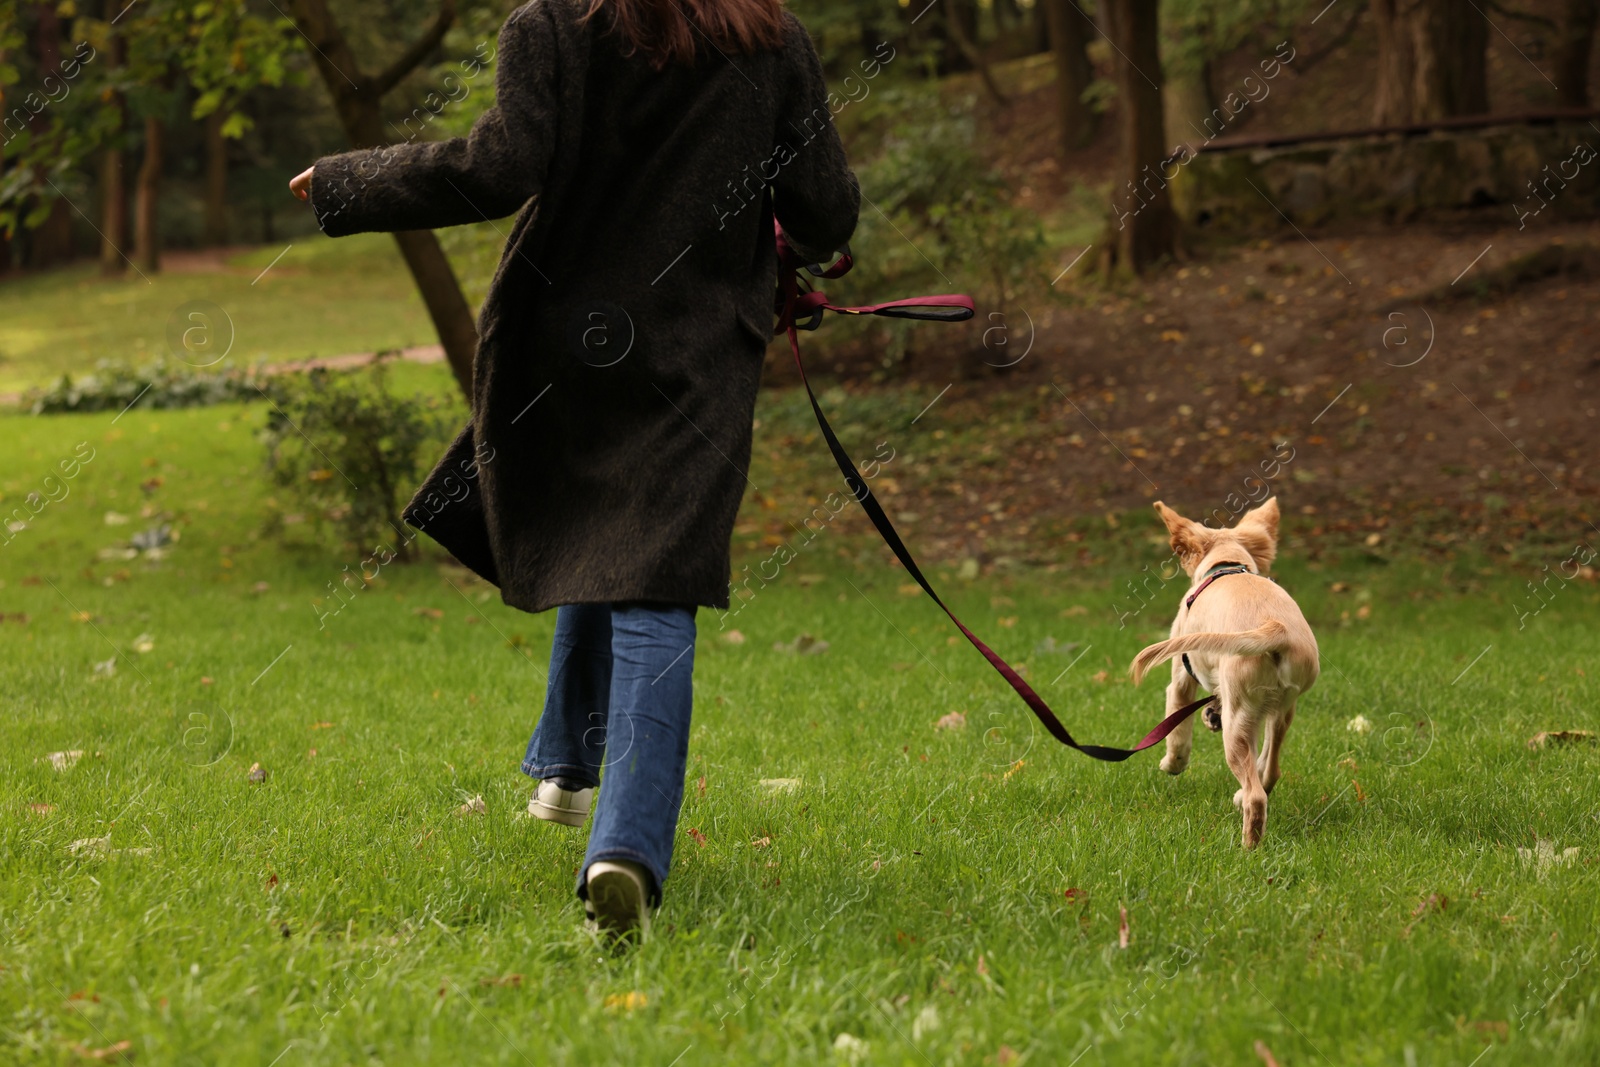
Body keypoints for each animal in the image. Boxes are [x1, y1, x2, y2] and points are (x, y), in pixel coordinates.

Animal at [1126, 499, 1312, 851]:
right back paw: (1244, 797)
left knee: (1256, 795)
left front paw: (1172, 764)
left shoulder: (1180, 681)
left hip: (1238, 720)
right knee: (1269, 770)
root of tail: (1274, 627)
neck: (1227, 564)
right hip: (1282, 708)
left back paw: (1248, 847)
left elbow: (1177, 733)